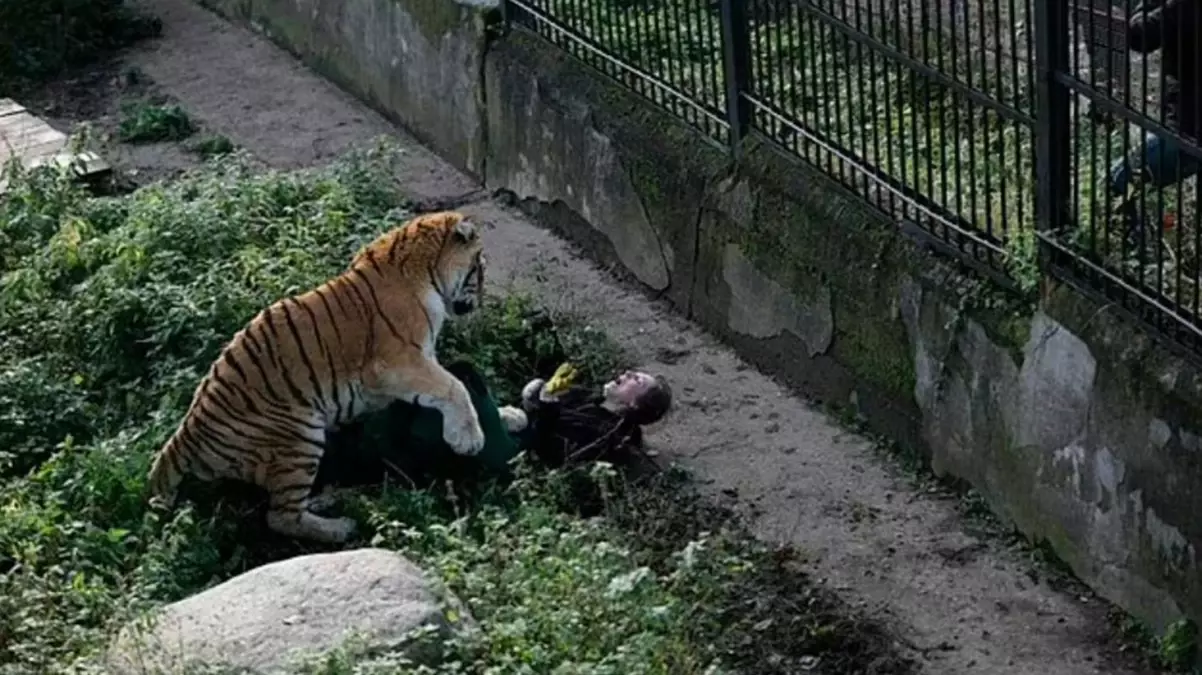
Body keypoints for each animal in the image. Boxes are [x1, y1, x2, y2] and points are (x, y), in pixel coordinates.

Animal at [147, 210, 485, 540]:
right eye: (479, 267)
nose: (481, 299)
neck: (427, 270)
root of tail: (185, 434)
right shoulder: (395, 363)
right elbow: (453, 386)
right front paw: (468, 439)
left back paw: (327, 500)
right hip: (300, 436)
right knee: (281, 517)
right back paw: (340, 528)